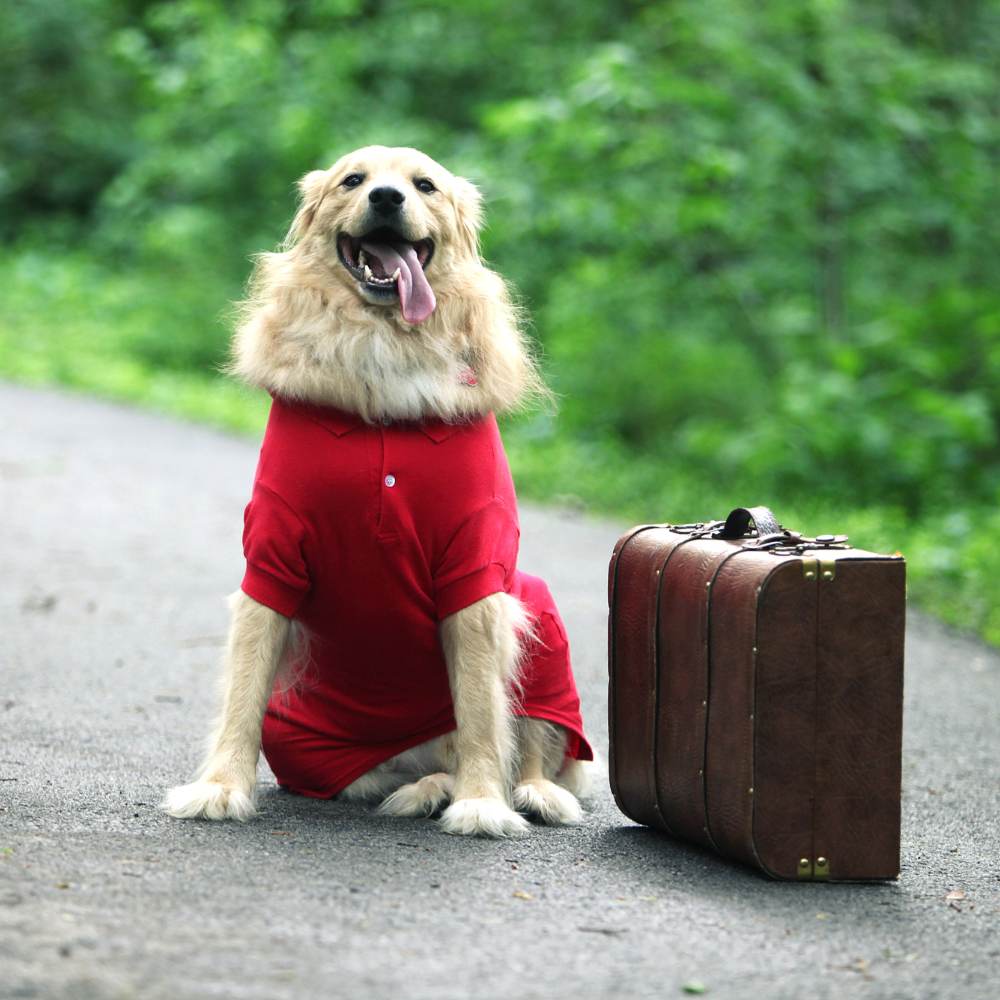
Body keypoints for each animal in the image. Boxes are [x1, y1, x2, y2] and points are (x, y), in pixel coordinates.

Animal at [160, 145, 588, 840]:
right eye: (353, 180)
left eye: (425, 185)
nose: (387, 198)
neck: (382, 347)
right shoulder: (270, 562)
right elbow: (242, 694)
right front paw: (219, 788)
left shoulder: (478, 573)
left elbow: (481, 710)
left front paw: (481, 803)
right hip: (302, 736)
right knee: (383, 775)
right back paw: (426, 788)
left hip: (539, 612)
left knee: (533, 749)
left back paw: (519, 792)